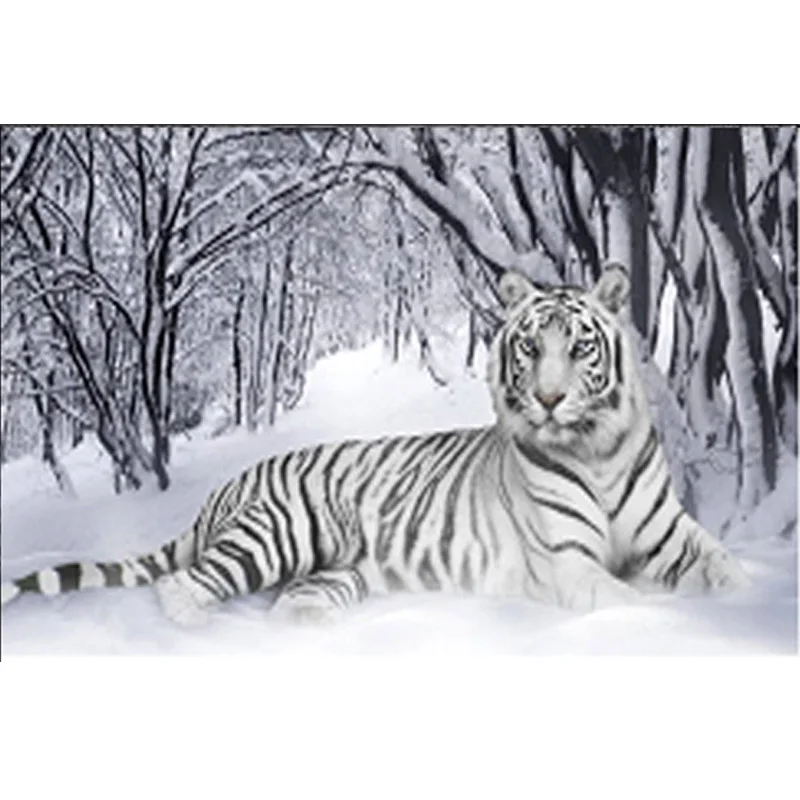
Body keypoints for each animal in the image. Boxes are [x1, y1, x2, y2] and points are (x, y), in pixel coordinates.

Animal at [0, 264, 750, 626]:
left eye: (580, 346)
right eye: (531, 347)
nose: (547, 399)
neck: (597, 449)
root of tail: (228, 485)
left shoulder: (672, 535)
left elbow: (725, 568)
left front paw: (742, 600)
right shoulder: (571, 565)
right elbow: (632, 602)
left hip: (338, 570)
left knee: (288, 600)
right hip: (278, 534)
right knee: (182, 583)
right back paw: (194, 628)